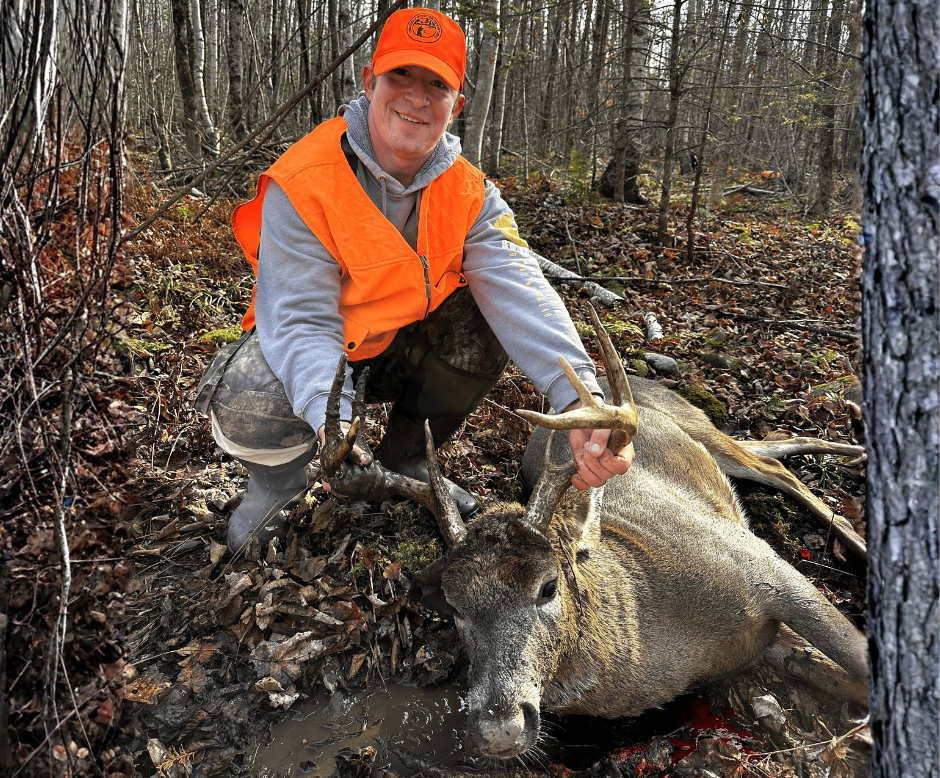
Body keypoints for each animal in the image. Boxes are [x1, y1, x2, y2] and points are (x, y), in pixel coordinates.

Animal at [319, 306, 869, 760]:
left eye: (548, 585)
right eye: (453, 606)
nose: (499, 730)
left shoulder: (761, 563)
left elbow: (858, 654)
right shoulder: (765, 640)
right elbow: (838, 672)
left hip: (700, 427)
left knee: (775, 468)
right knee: (775, 448)